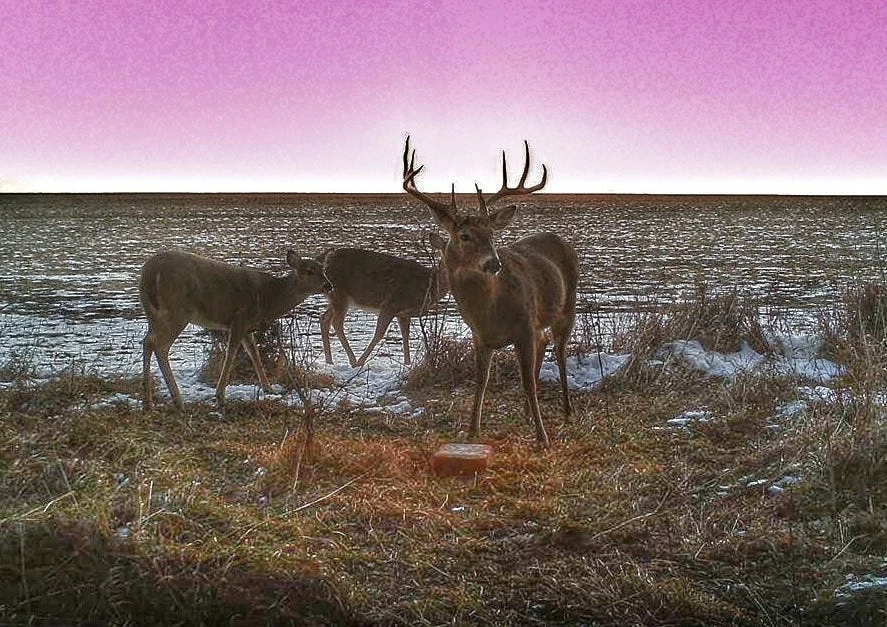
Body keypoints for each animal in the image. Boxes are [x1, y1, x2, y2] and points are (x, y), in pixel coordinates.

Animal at [140, 249, 331, 411]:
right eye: (308, 271)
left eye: (323, 269)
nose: (328, 286)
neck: (268, 298)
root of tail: (150, 274)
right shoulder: (239, 318)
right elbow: (231, 355)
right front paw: (220, 396)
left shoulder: (247, 328)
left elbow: (254, 354)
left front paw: (269, 389)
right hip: (178, 311)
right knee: (159, 346)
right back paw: (177, 400)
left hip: (153, 315)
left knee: (147, 342)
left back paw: (148, 401)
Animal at [318, 234, 449, 367]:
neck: (428, 285)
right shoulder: (391, 304)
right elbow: (379, 334)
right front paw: (361, 361)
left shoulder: (404, 313)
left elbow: (405, 336)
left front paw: (407, 363)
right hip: (340, 293)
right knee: (336, 323)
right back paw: (353, 360)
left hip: (336, 297)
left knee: (324, 319)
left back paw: (329, 361)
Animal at [401, 136, 578, 448]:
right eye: (465, 236)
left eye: (492, 234)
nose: (494, 263)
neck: (490, 312)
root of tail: (562, 241)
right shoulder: (480, 336)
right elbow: (481, 381)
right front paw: (472, 431)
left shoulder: (524, 326)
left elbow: (527, 382)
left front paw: (542, 438)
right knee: (545, 342)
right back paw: (526, 413)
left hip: (568, 306)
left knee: (559, 350)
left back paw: (567, 412)